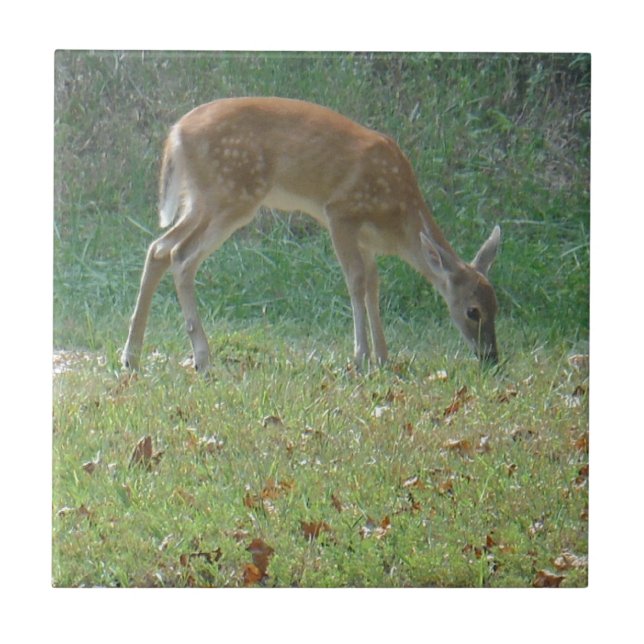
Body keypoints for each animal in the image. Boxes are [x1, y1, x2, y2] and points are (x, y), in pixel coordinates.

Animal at [121, 97, 501, 373]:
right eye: (473, 311)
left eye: (496, 306)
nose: (491, 358)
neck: (398, 219)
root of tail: (175, 134)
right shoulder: (340, 213)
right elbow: (356, 281)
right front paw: (361, 358)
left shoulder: (366, 240)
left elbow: (374, 285)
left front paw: (383, 356)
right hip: (231, 194)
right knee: (182, 256)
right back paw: (202, 357)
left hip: (201, 200)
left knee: (158, 248)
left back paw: (132, 356)